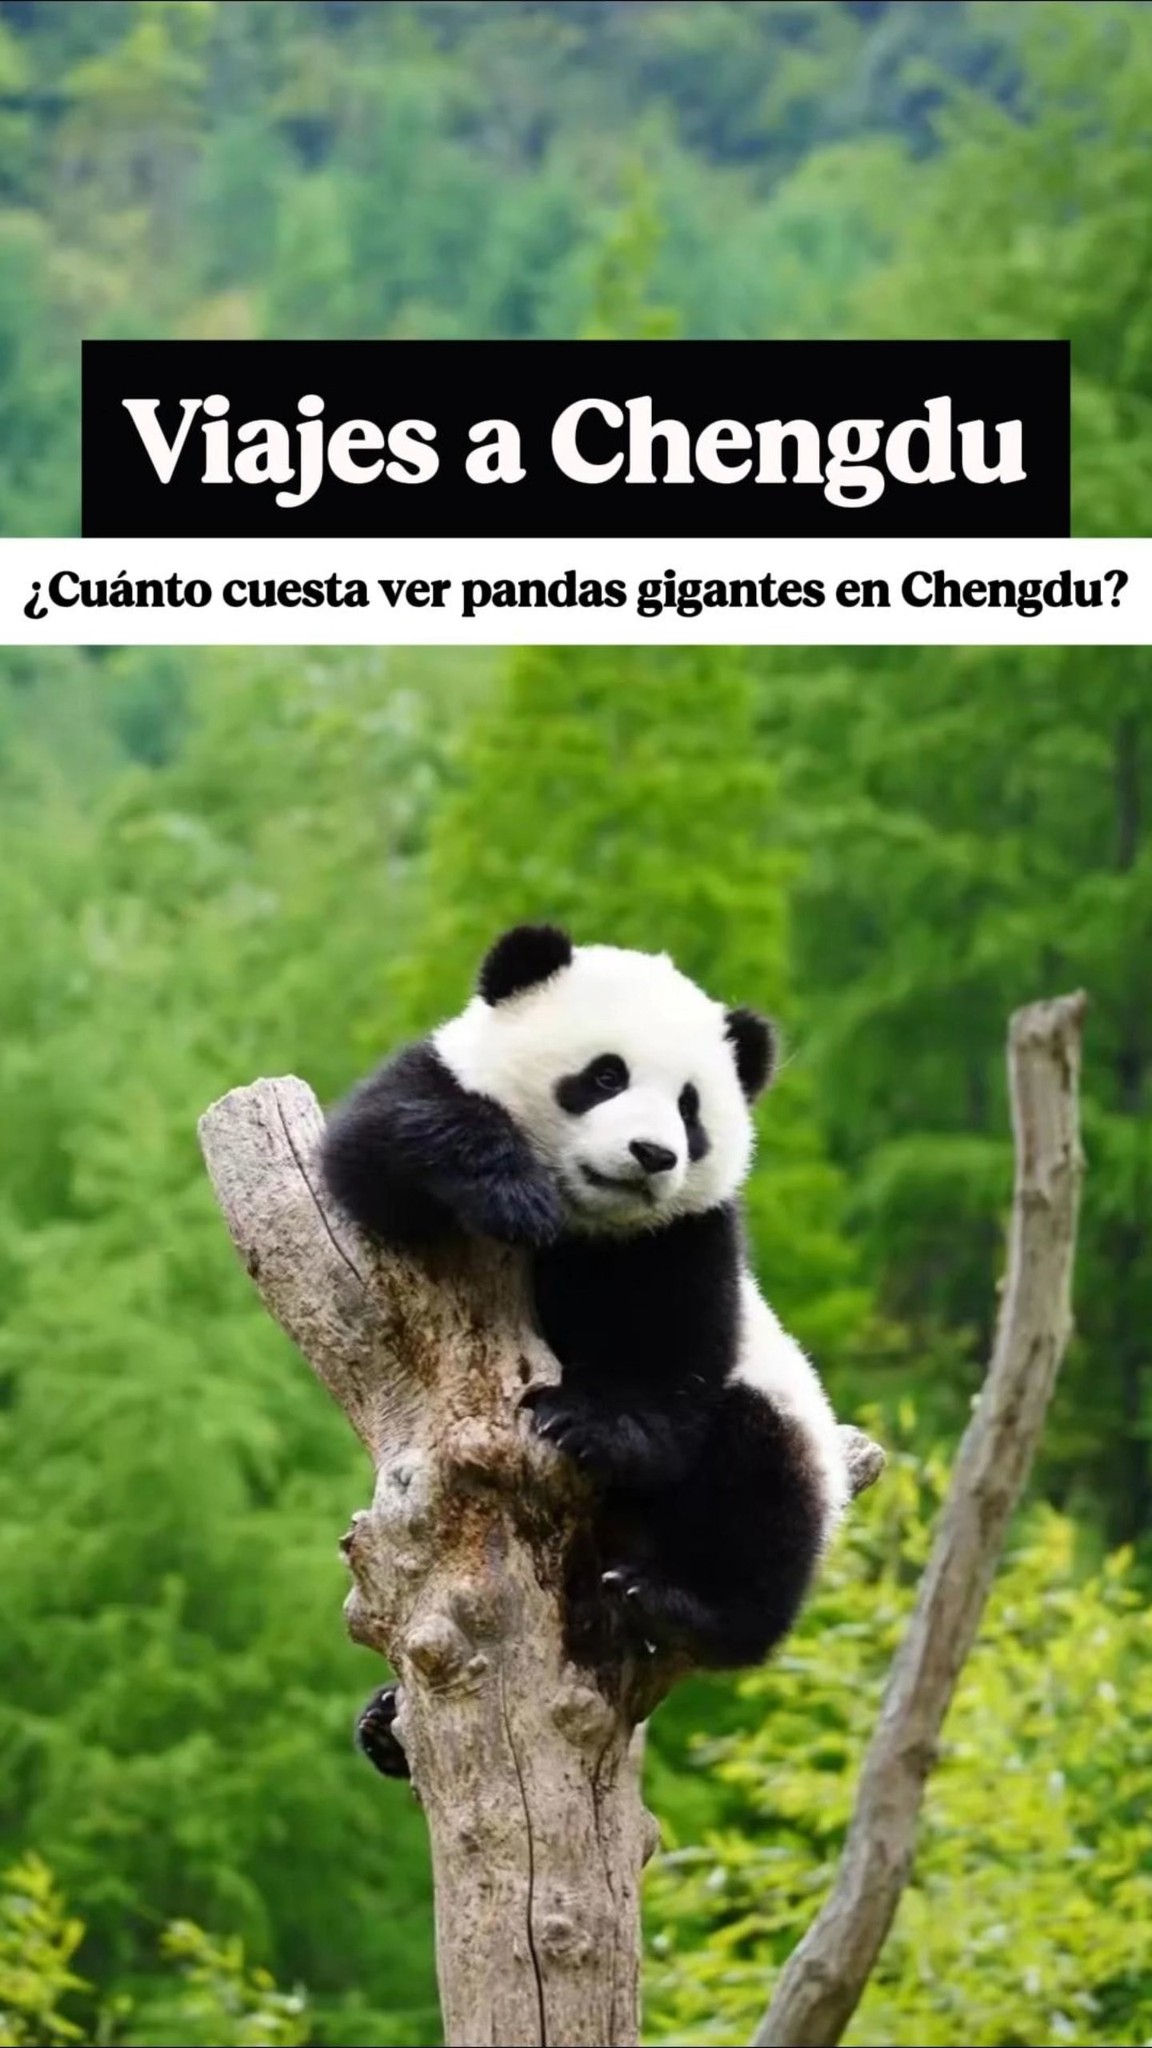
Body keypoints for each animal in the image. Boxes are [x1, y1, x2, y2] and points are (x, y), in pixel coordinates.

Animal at [321, 924, 851, 1778]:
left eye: (690, 1108)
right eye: (605, 1075)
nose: (653, 1153)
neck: (587, 1222)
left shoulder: (684, 1237)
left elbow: (673, 1358)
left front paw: (587, 1427)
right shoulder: (424, 1098)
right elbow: (384, 1148)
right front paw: (509, 1192)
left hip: (785, 1435)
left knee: (760, 1490)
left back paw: (677, 1603)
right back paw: (384, 1723)